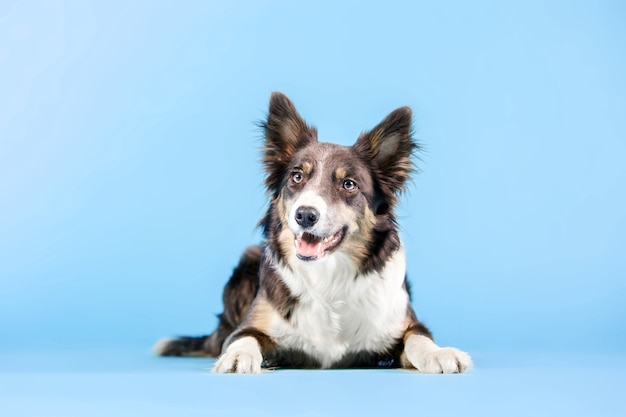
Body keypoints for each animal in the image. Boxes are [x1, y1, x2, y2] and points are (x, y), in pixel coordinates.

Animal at [154, 92, 470, 372]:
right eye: (297, 177)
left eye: (349, 184)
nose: (305, 215)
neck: (328, 276)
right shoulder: (249, 326)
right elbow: (242, 340)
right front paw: (237, 357)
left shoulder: (403, 323)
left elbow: (419, 338)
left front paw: (439, 354)